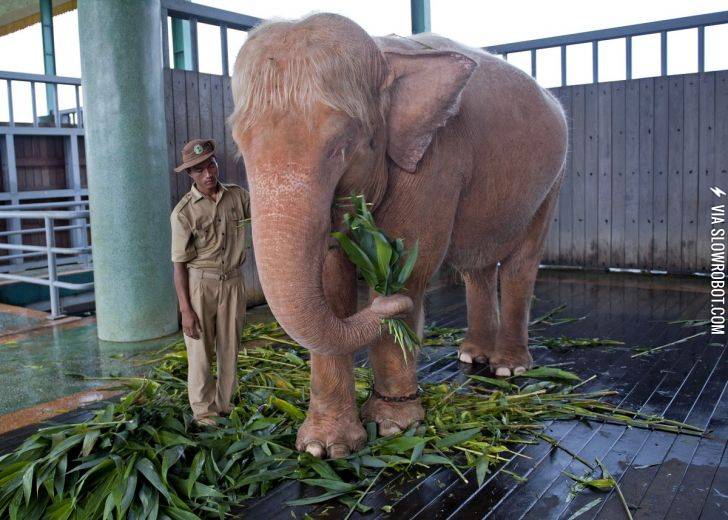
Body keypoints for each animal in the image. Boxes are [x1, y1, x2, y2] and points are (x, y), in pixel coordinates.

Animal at [229, 13, 567, 459]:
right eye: (238, 146)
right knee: (476, 268)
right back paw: (471, 356)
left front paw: (392, 427)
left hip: (551, 184)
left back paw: (507, 367)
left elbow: (410, 265)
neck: (382, 57)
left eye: (342, 146)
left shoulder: (434, 160)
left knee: (520, 264)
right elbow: (330, 284)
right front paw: (323, 448)